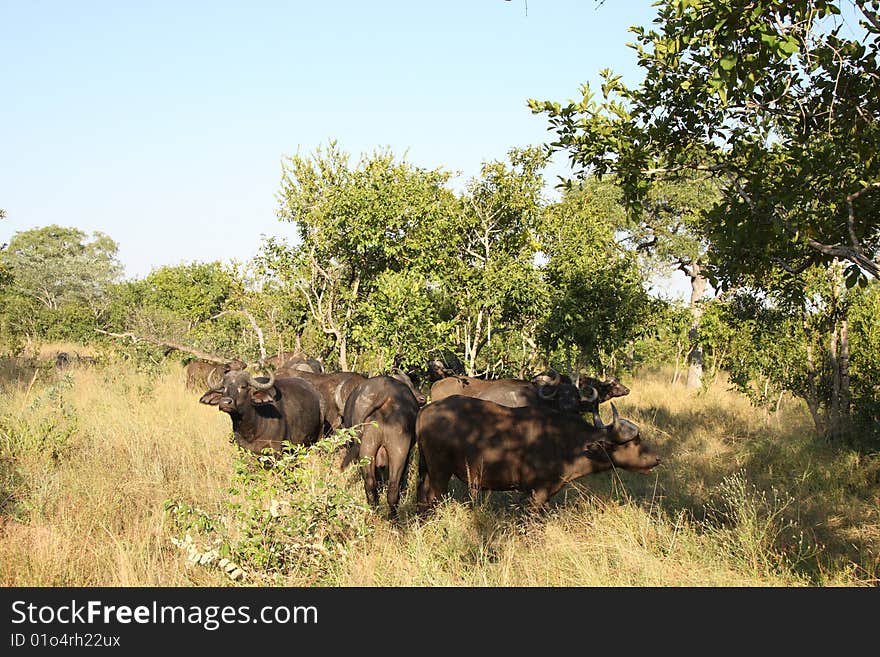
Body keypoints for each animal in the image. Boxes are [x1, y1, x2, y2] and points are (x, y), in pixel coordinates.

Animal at [418, 394, 660, 512]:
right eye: (634, 441)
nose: (656, 459)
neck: (566, 443)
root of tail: (426, 410)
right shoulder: (536, 493)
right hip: (440, 473)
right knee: (432, 498)